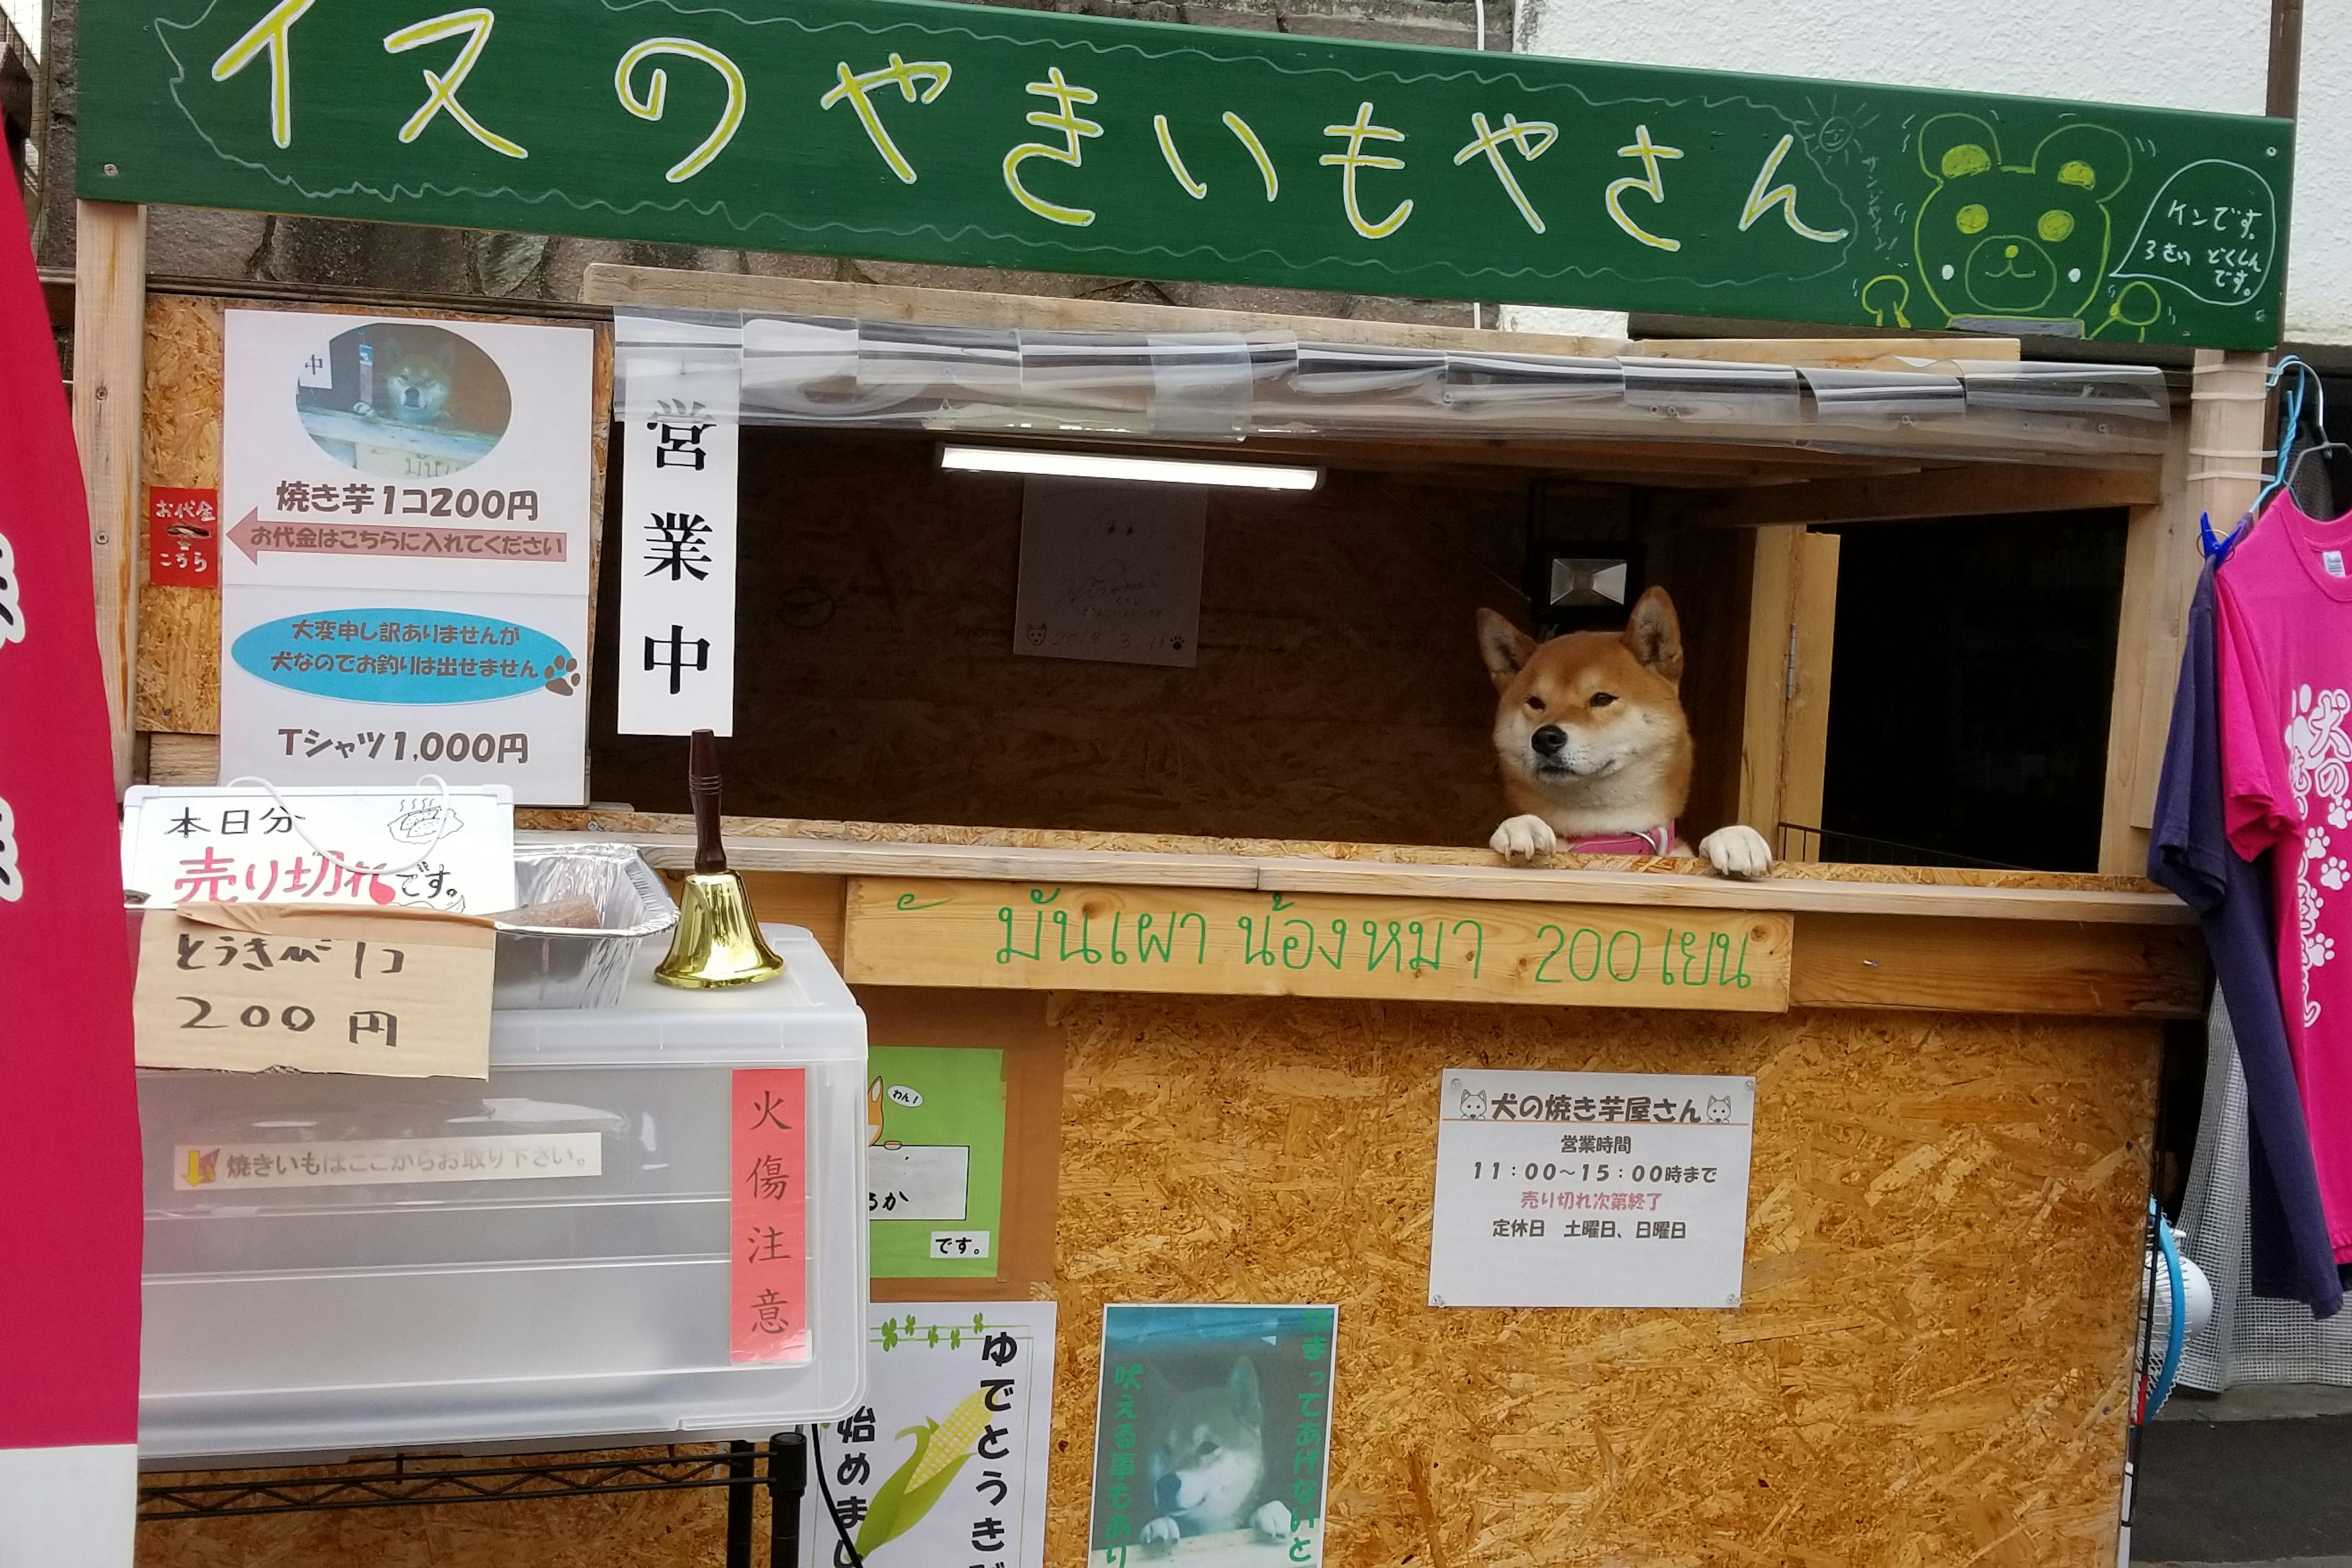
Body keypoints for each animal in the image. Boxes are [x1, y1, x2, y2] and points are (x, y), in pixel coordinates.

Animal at [1486, 587, 1768, 884]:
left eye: (1602, 699)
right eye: (1535, 703)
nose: (1544, 738)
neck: (1608, 839)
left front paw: (1735, 838)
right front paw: (1522, 826)